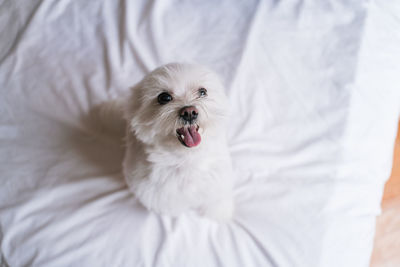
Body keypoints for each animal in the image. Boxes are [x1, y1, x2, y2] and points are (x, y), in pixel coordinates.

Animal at [122, 62, 234, 222]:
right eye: (164, 97)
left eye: (202, 92)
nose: (189, 112)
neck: (187, 159)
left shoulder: (218, 180)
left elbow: (216, 200)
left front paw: (220, 213)